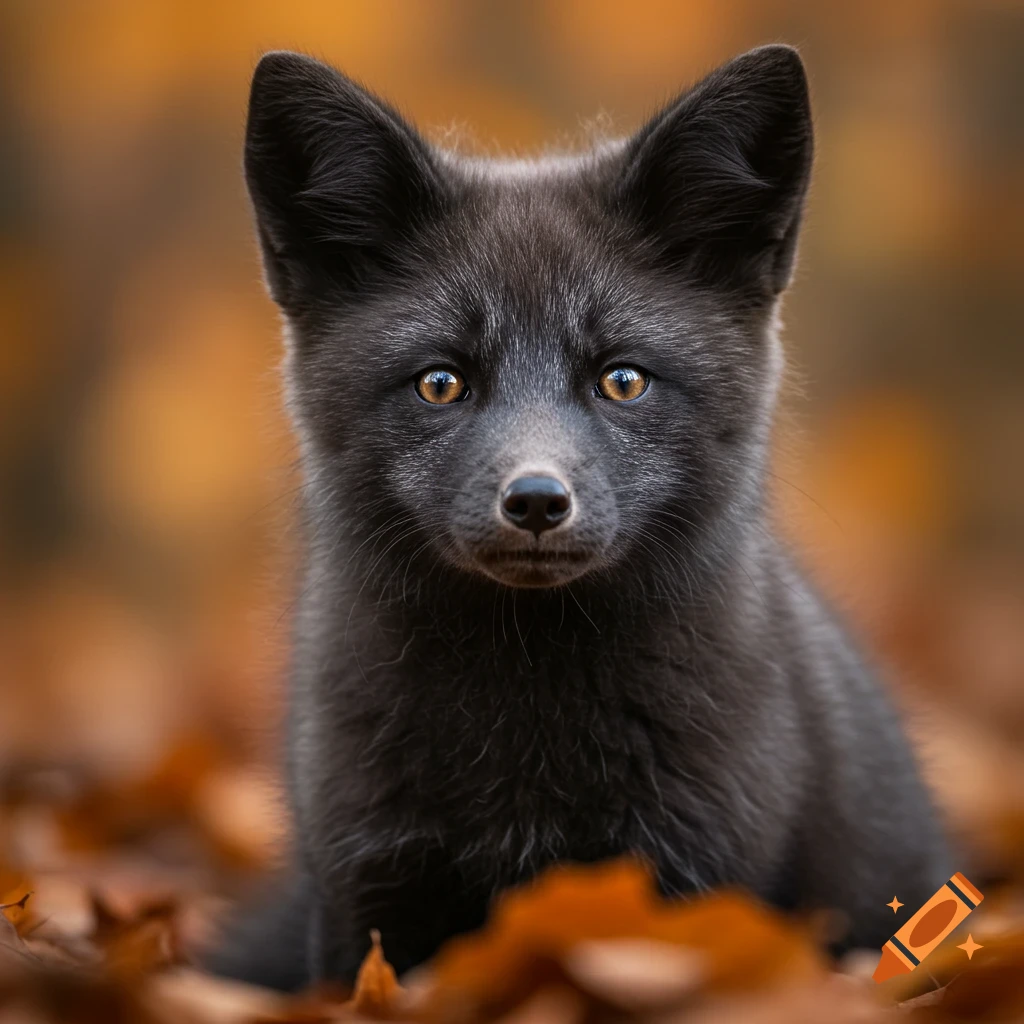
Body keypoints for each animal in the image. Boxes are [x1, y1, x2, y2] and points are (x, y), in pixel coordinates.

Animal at [211, 44, 950, 990]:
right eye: (441, 382)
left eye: (621, 380)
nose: (536, 500)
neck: (523, 740)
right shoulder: (368, 895)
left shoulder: (691, 879)